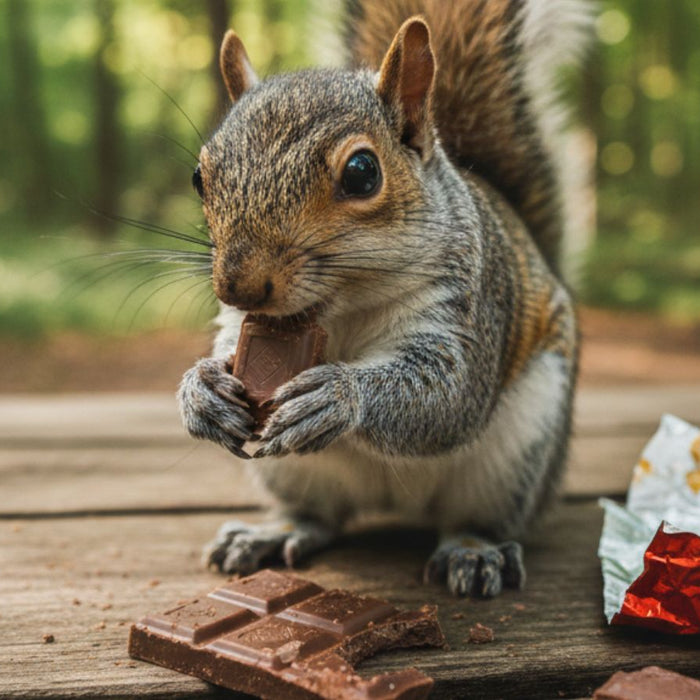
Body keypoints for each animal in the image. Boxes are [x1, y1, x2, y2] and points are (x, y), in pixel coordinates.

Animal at [178, 0, 592, 597]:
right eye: (199, 176)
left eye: (362, 172)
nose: (238, 284)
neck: (341, 310)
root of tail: (395, 504)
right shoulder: (244, 323)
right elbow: (227, 349)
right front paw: (201, 390)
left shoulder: (466, 307)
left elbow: (447, 396)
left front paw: (338, 396)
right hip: (291, 470)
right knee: (319, 515)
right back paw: (274, 532)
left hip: (518, 453)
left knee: (475, 518)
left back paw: (475, 550)